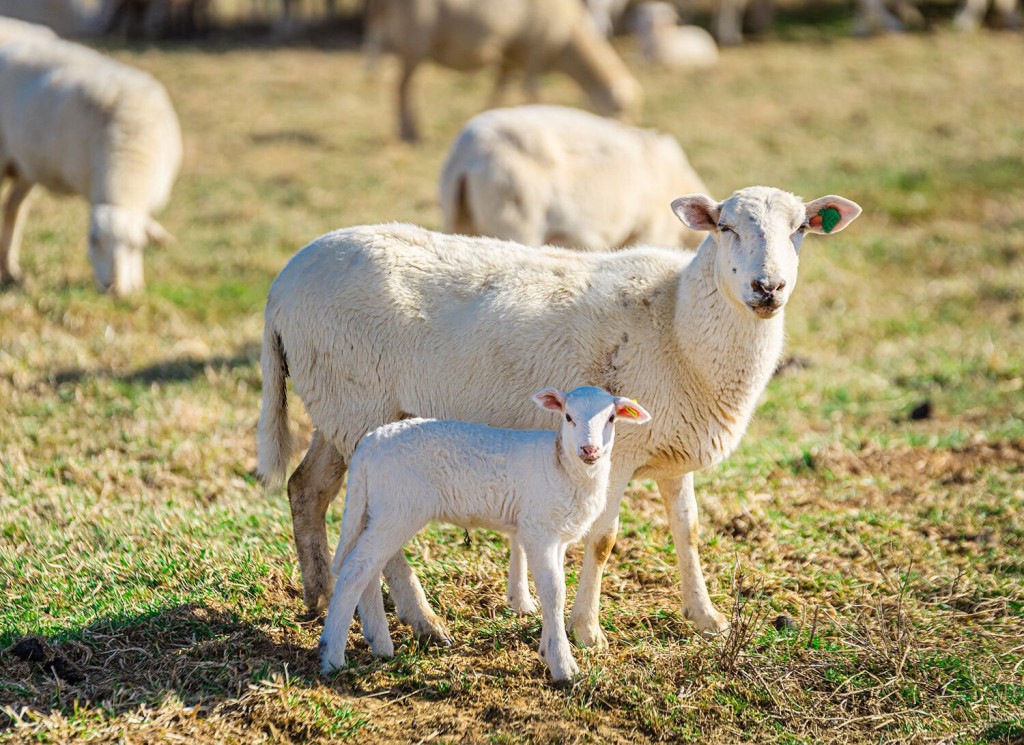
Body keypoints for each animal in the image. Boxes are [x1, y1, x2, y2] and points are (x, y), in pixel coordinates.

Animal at [0, 34, 181, 294]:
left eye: (135, 246)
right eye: (93, 240)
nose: (113, 289)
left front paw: (137, 283)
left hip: (26, 164)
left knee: (13, 207)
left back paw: (10, 270)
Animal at [258, 185, 862, 648]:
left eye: (801, 229)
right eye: (725, 227)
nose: (768, 287)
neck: (677, 321)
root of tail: (281, 285)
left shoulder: (673, 449)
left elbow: (688, 531)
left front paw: (706, 616)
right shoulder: (619, 452)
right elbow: (603, 539)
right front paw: (587, 630)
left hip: (338, 409)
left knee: (306, 490)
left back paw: (319, 596)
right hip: (357, 403)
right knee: (375, 530)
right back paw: (423, 620)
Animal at [319, 386, 652, 680]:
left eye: (611, 418)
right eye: (568, 417)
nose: (590, 450)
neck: (562, 465)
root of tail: (371, 441)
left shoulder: (556, 535)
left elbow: (553, 590)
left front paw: (547, 649)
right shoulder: (539, 530)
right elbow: (555, 591)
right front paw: (563, 665)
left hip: (378, 509)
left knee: (368, 568)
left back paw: (379, 644)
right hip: (397, 508)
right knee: (356, 568)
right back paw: (332, 656)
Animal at [363, 0, 643, 142]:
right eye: (620, 108)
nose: (625, 134)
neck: (569, 42)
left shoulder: (511, 55)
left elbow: (501, 86)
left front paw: (489, 115)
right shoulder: (534, 51)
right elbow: (532, 92)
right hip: (415, 40)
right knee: (402, 87)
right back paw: (409, 133)